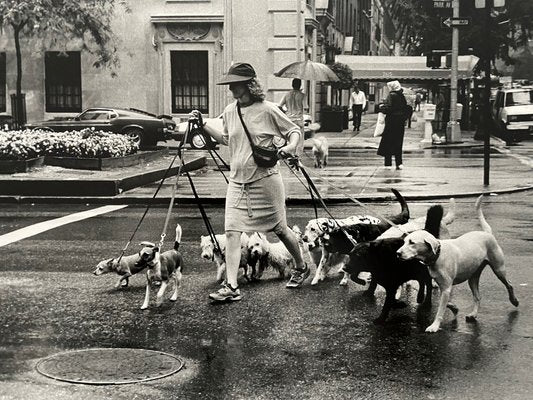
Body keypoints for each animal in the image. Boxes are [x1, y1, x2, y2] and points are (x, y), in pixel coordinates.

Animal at [396, 195, 516, 332]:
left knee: (509, 285)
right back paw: (473, 314)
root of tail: (487, 233)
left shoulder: (447, 287)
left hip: (499, 269)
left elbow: (440, 309)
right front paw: (455, 308)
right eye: (404, 241)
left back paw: (514, 301)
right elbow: (445, 302)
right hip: (473, 278)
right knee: (477, 297)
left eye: (412, 242)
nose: (397, 253)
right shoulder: (442, 286)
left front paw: (434, 326)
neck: (438, 255)